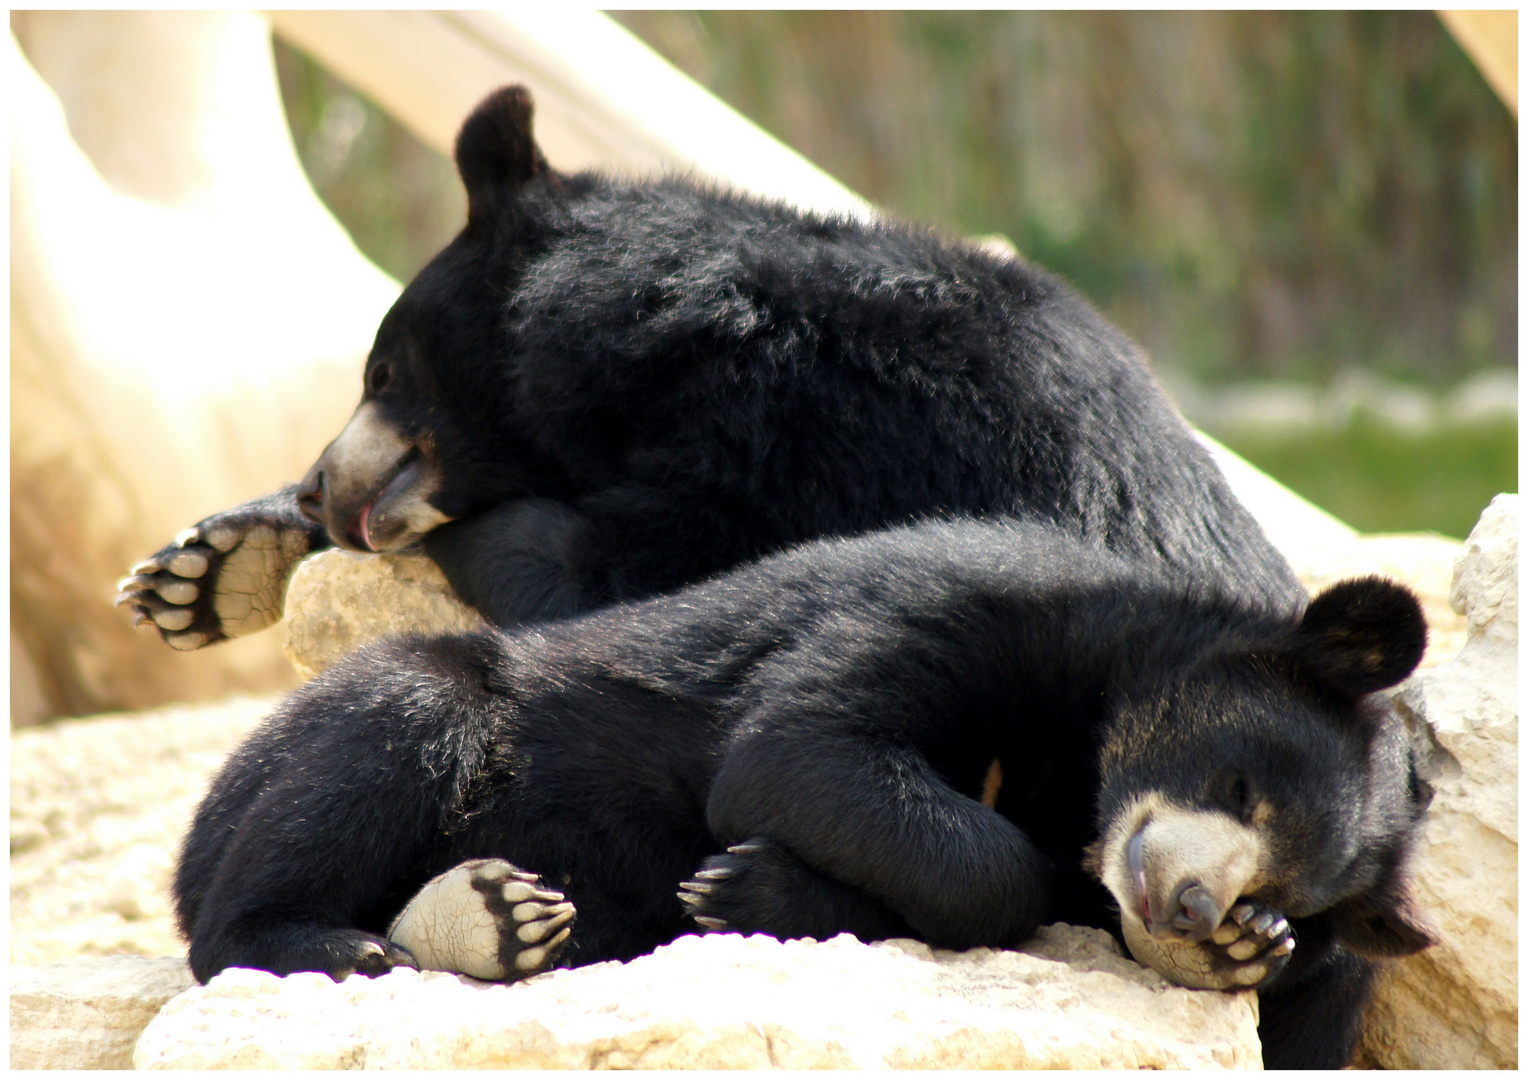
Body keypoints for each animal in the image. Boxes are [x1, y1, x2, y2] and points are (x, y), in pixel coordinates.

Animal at [175, 516, 1430, 1075]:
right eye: (1236, 781)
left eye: (1280, 890)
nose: (1185, 905)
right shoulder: (966, 604)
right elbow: (795, 748)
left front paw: (752, 890)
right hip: (374, 725)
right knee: (374, 742)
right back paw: (352, 942)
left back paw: (498, 917)